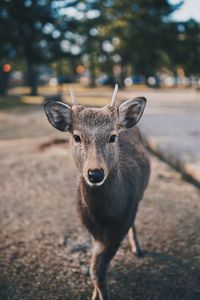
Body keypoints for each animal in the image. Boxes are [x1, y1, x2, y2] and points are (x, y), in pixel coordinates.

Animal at [43, 85, 150, 300]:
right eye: (76, 136)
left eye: (112, 136)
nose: (95, 173)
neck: (105, 215)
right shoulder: (91, 228)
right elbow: (95, 268)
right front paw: (94, 294)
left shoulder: (120, 225)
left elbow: (97, 270)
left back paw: (138, 249)